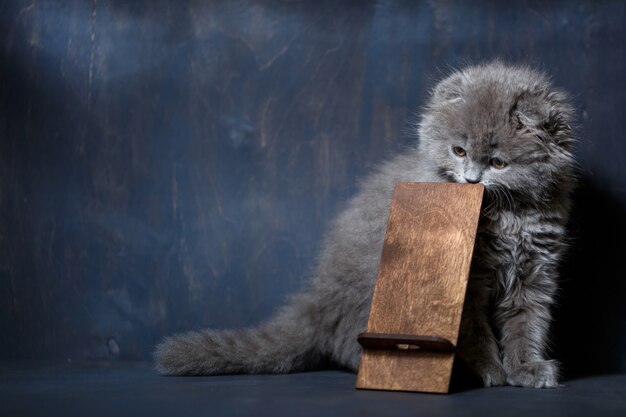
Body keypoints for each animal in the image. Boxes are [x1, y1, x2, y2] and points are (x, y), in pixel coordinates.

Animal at [154, 61, 572, 386]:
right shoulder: (466, 284)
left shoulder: (536, 271)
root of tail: (315, 302)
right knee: (347, 344)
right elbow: (474, 331)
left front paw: (527, 369)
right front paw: (488, 370)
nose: (471, 180)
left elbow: (527, 323)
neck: (509, 217)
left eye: (499, 163)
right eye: (459, 151)